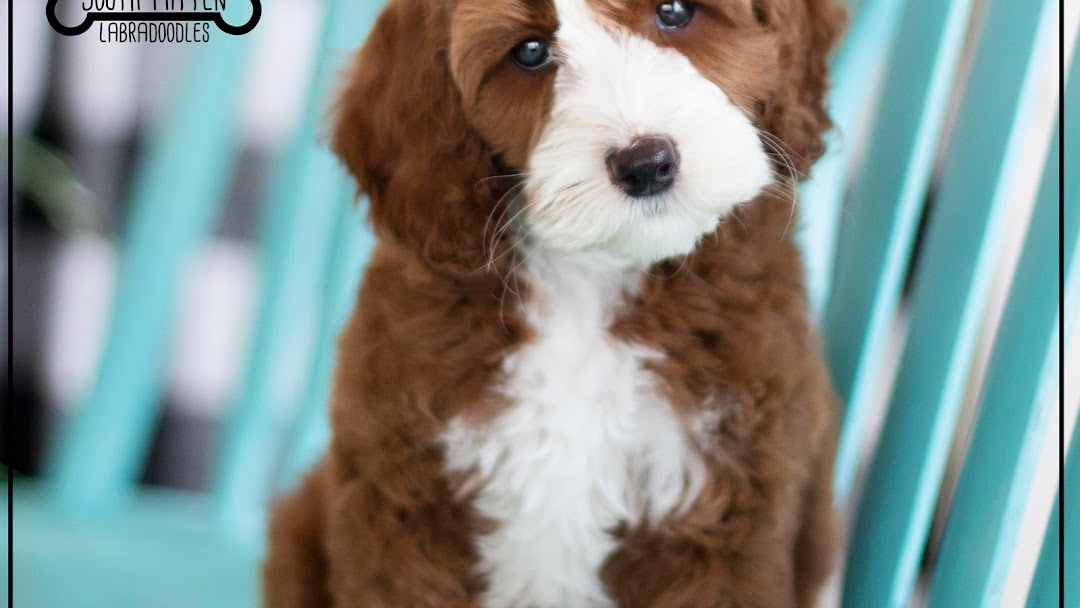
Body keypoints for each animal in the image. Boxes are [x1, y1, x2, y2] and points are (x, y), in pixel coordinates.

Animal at [265, 0, 846, 604]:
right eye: (530, 52)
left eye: (674, 11)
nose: (646, 163)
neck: (592, 274)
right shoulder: (402, 499)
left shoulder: (726, 507)